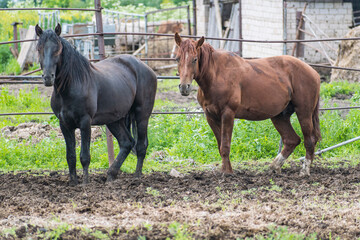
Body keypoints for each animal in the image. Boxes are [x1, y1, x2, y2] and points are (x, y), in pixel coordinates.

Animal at [36, 23, 158, 186]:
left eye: (58, 49)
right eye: (39, 48)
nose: (48, 77)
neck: (71, 87)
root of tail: (146, 68)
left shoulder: (85, 122)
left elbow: (84, 156)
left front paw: (85, 183)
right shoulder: (64, 124)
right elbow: (70, 156)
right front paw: (73, 183)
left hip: (142, 115)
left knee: (141, 146)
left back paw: (136, 177)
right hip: (114, 120)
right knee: (126, 143)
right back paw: (111, 175)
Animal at [174, 32, 320, 176]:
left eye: (195, 59)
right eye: (177, 58)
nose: (184, 87)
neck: (217, 75)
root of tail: (314, 72)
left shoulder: (228, 114)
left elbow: (225, 146)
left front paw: (227, 173)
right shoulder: (210, 116)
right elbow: (220, 147)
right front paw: (226, 170)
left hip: (304, 113)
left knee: (309, 141)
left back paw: (304, 171)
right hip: (279, 116)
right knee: (292, 140)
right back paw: (275, 166)